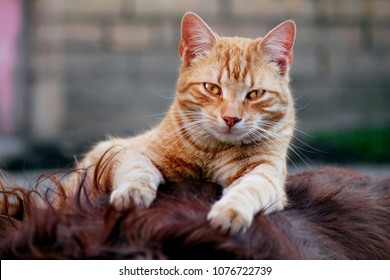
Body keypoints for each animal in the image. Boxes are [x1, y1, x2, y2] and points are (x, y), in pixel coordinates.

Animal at [69, 12, 296, 233]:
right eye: (212, 88)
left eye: (255, 94)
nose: (231, 118)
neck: (213, 152)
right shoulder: (135, 153)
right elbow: (138, 171)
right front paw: (131, 194)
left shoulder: (266, 173)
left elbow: (249, 189)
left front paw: (230, 210)